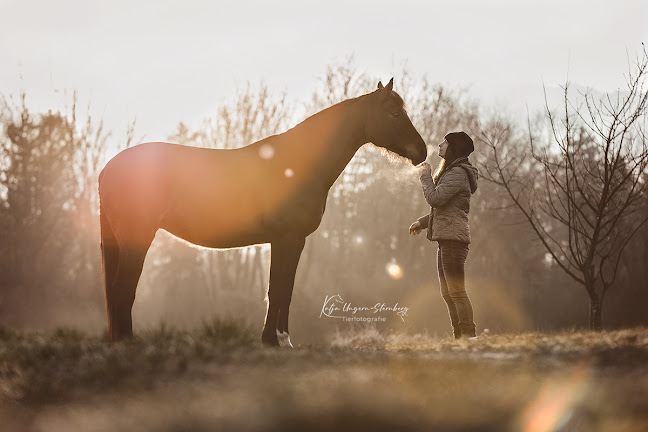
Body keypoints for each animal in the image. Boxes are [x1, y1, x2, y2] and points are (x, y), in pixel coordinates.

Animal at [98, 77, 428, 346]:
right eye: (394, 113)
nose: (422, 151)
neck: (297, 165)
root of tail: (107, 169)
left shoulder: (295, 241)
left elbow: (286, 290)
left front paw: (282, 339)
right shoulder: (284, 238)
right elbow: (277, 289)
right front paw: (272, 340)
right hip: (138, 238)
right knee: (122, 290)